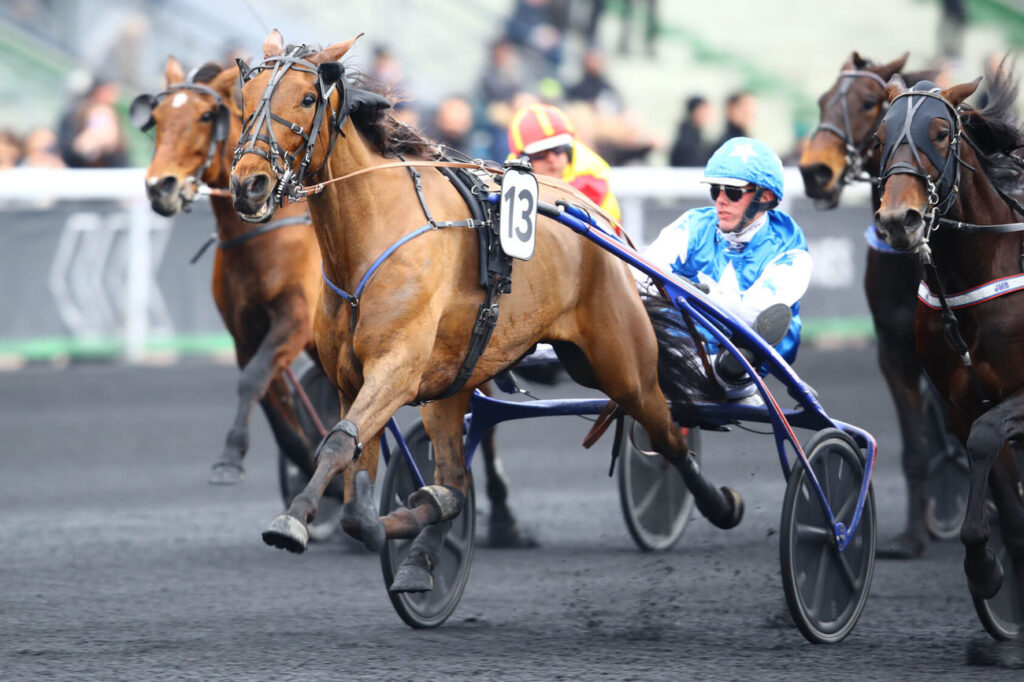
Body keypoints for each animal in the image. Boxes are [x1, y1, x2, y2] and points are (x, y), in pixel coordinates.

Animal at [134, 55, 535, 547]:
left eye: (207, 116)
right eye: (157, 118)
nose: (161, 186)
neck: (271, 237)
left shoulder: (295, 319)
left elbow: (255, 380)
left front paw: (233, 460)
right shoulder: (245, 332)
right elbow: (268, 395)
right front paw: (307, 469)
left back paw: (503, 518)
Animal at [229, 30, 740, 591]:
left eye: (305, 98)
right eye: (244, 99)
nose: (248, 183)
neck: (370, 241)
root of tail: (595, 216)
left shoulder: (395, 369)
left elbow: (341, 447)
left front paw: (293, 520)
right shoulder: (351, 379)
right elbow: (356, 491)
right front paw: (391, 516)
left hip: (620, 363)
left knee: (666, 428)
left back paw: (720, 504)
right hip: (456, 384)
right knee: (454, 476)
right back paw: (425, 548)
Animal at [799, 52, 947, 558]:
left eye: (868, 103)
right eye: (821, 99)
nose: (815, 173)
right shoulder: (893, 346)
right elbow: (917, 446)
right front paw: (913, 537)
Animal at [873, 72, 1024, 607]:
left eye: (940, 134)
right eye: (880, 137)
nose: (898, 220)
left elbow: (985, 439)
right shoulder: (959, 400)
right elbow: (1002, 491)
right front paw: (987, 570)